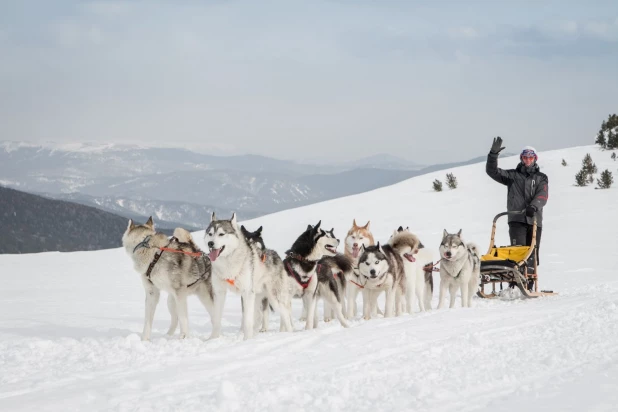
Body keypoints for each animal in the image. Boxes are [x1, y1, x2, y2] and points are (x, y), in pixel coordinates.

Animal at [202, 211, 288, 340]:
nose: (210, 243)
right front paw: (213, 339)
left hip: (273, 298)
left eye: (221, 234)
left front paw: (247, 340)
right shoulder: (219, 293)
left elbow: (247, 321)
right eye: (210, 234)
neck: (228, 262)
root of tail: (277, 256)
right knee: (259, 317)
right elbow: (217, 319)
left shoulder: (246, 293)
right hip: (258, 298)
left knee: (286, 314)